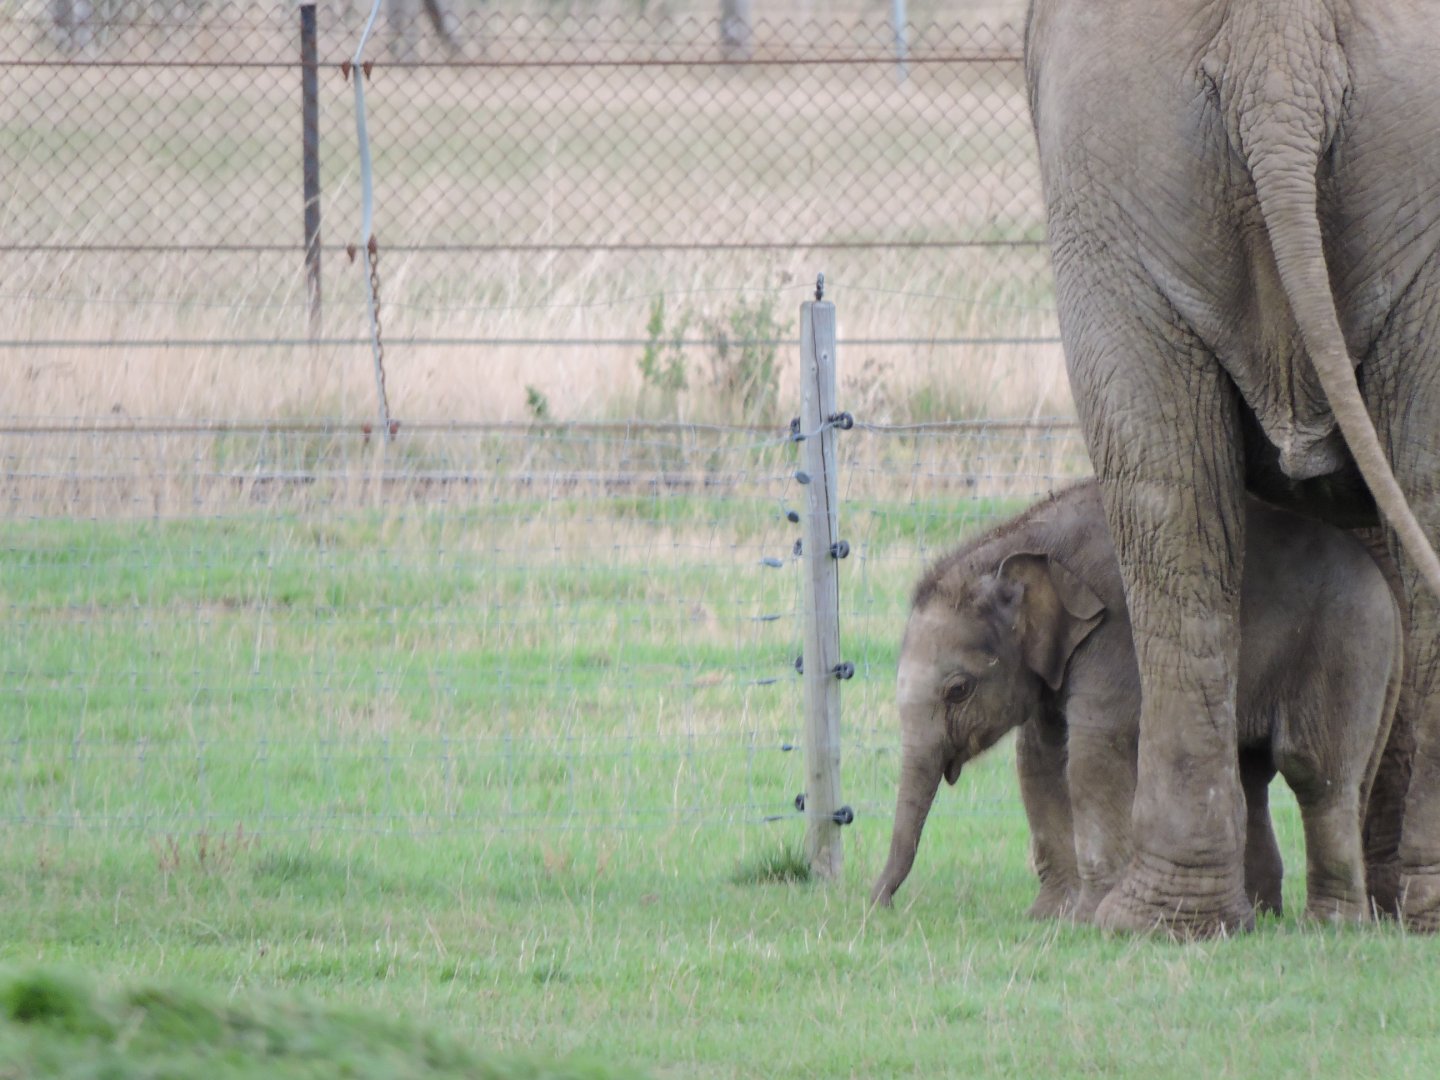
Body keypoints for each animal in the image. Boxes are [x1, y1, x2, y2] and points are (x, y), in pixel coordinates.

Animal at [870, 482, 1402, 924]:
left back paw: (1331, 924)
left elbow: (1092, 753)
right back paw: (1262, 914)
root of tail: (1392, 596)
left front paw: (1087, 919)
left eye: (958, 689)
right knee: (1251, 773)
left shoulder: (1115, 633)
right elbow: (1038, 758)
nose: (878, 907)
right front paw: (1047, 918)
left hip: (1348, 646)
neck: (1021, 541)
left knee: (1314, 772)